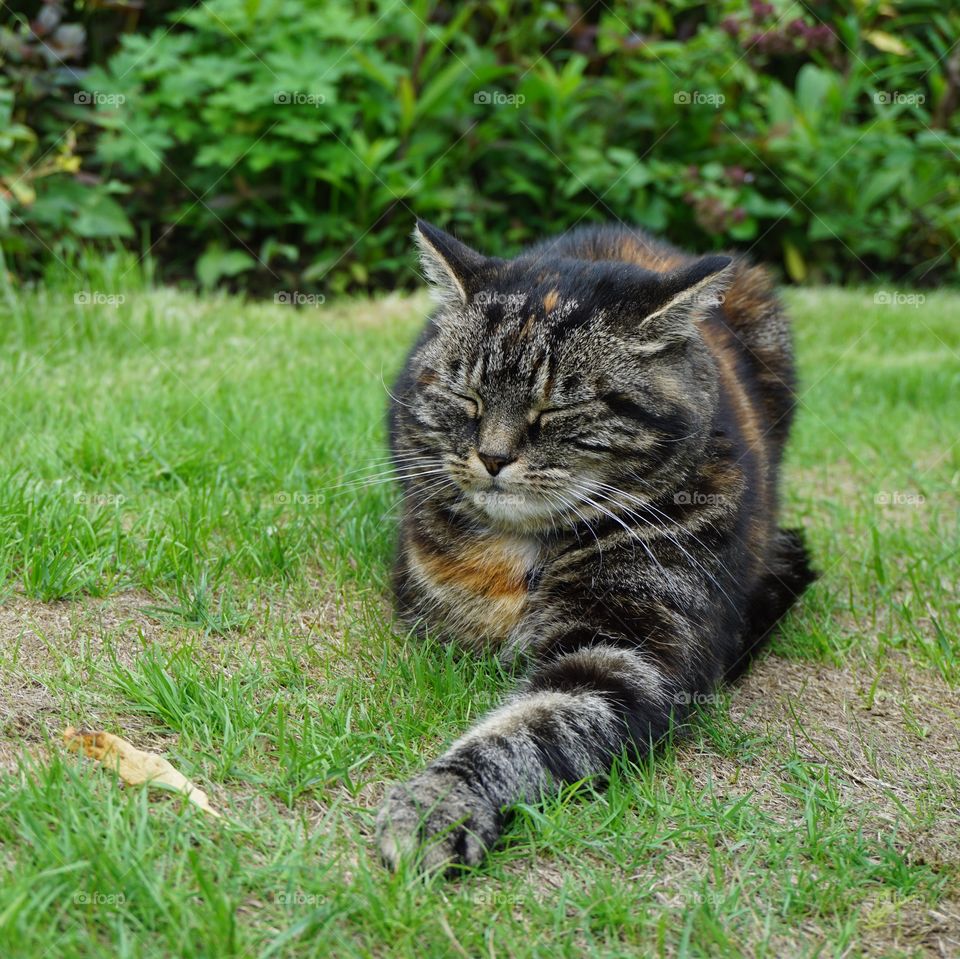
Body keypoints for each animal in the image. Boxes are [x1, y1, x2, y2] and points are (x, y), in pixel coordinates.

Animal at [376, 221, 816, 872]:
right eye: (467, 398)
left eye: (558, 408)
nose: (493, 457)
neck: (525, 559)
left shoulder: (630, 654)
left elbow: (528, 731)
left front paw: (438, 803)